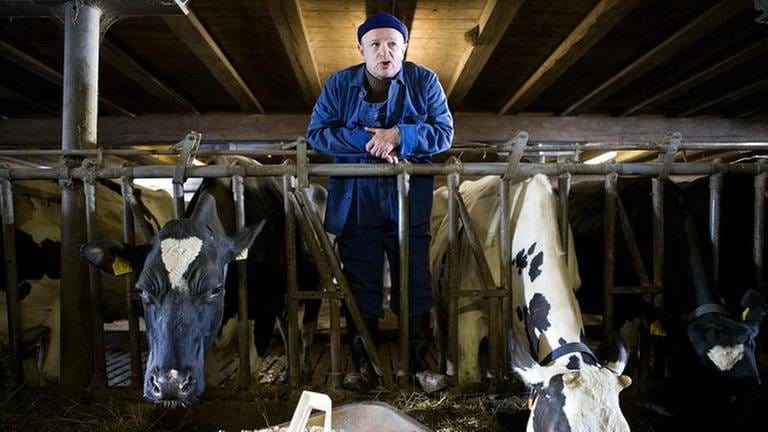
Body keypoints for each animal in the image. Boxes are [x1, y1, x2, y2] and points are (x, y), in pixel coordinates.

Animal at [82, 157, 322, 406]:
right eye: (142, 291)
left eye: (215, 289)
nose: (169, 383)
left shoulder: (264, 308)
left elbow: (252, 373)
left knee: (306, 329)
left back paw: (303, 374)